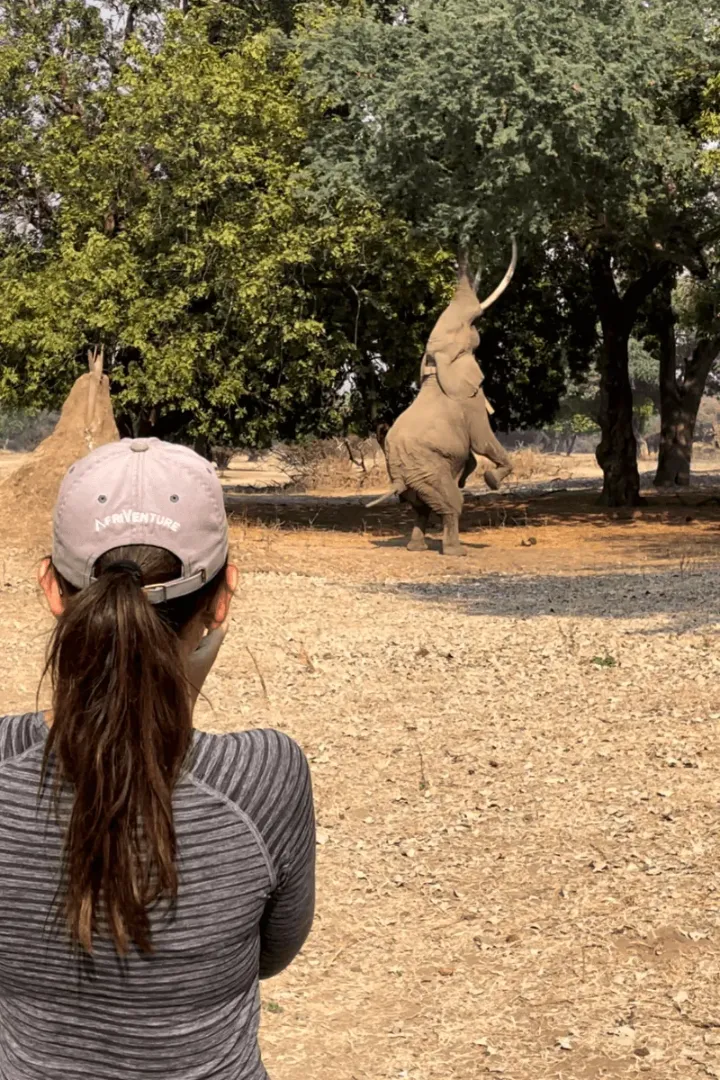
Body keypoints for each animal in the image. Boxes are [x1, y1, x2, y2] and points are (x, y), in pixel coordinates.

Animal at [368, 241, 517, 557]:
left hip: (417, 476)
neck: (435, 363)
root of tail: (399, 476)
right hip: (428, 470)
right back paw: (455, 551)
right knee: (450, 505)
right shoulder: (470, 399)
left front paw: (470, 473)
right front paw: (491, 480)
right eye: (471, 330)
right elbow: (483, 440)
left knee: (420, 508)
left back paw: (416, 548)